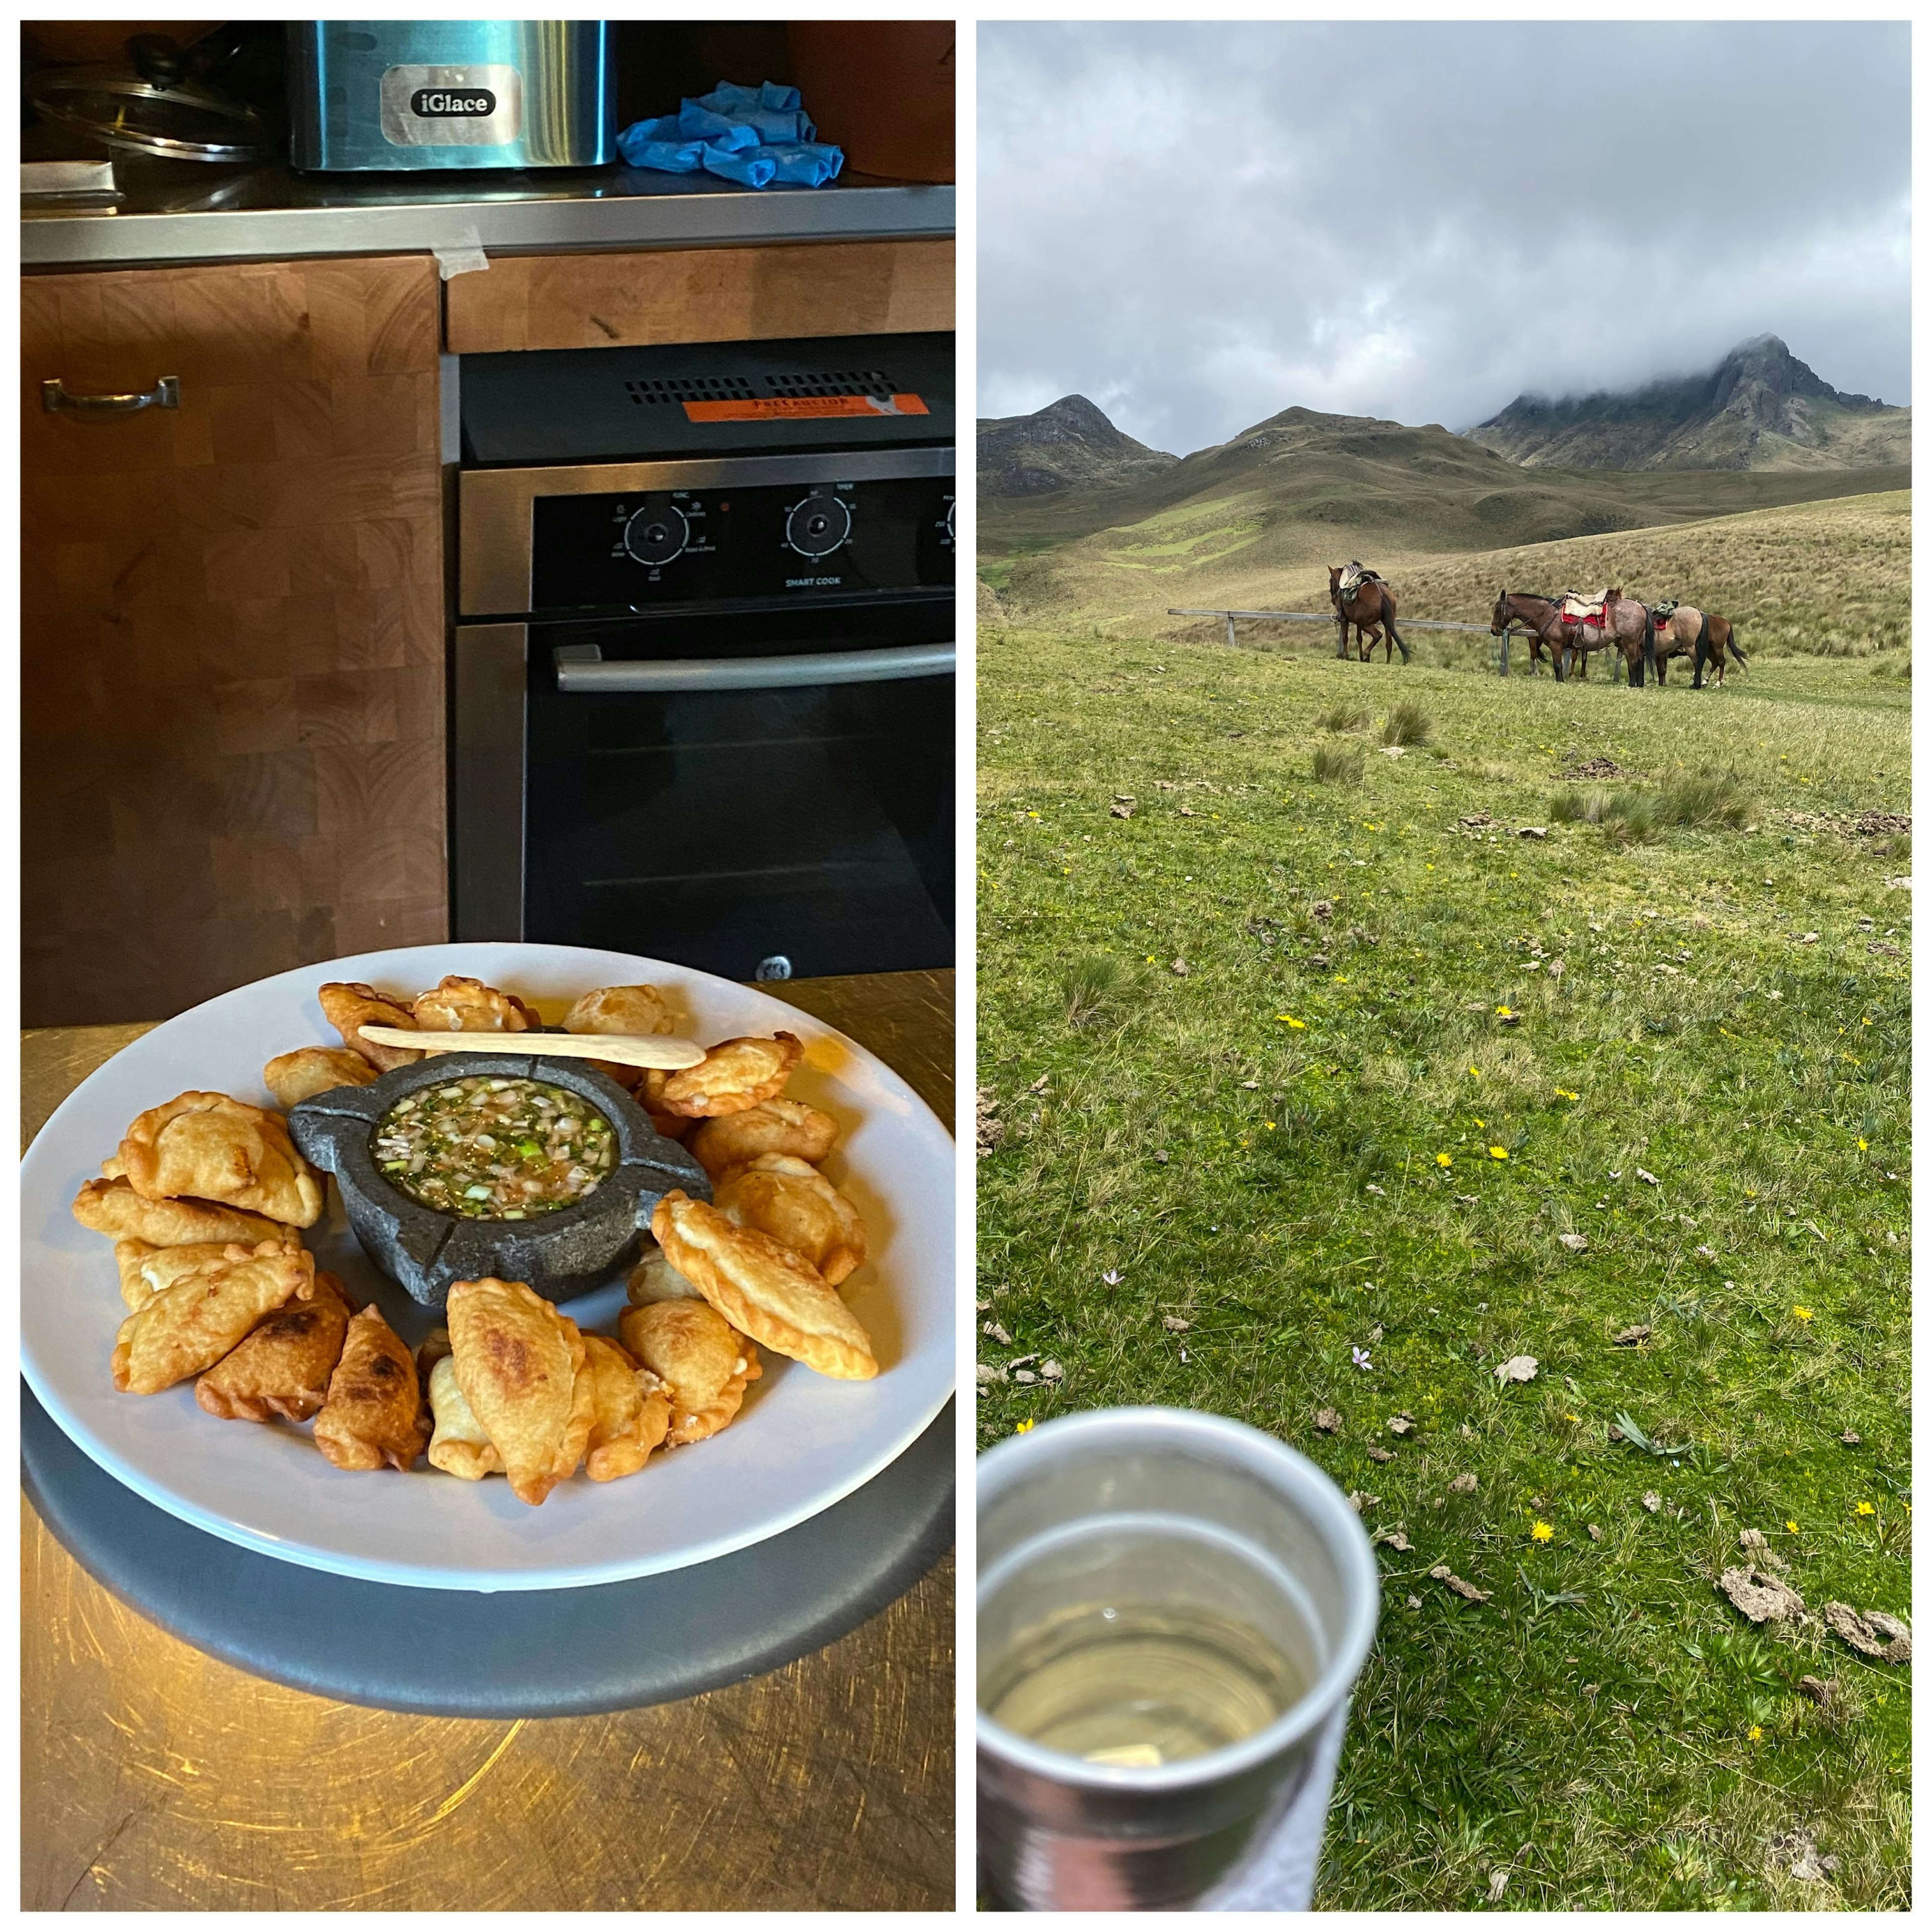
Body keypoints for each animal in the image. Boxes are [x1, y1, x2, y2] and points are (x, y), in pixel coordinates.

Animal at [1329, 564, 1406, 664]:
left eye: (1330, 581)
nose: (1333, 600)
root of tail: (1381, 593)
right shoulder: (1358, 623)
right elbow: (1359, 638)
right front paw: (1361, 657)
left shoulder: (1344, 620)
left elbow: (1345, 638)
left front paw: (1346, 656)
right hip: (1387, 624)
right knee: (1389, 642)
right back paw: (1387, 662)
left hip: (1366, 625)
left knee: (1378, 635)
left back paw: (1367, 654)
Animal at [1491, 587, 1661, 688]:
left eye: (1498, 609)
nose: (1494, 630)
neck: (1548, 614)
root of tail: (1640, 605)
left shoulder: (1556, 645)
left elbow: (1558, 666)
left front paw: (1560, 681)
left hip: (1630, 642)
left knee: (1635, 661)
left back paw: (1634, 685)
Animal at [1646, 610, 1754, 695]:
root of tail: (1726, 622)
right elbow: (1661, 669)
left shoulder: (1662, 654)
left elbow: (1662, 669)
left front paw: (1662, 684)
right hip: (1709, 650)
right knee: (1715, 662)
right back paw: (1705, 681)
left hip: (1717, 648)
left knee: (1721, 662)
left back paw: (1717, 684)